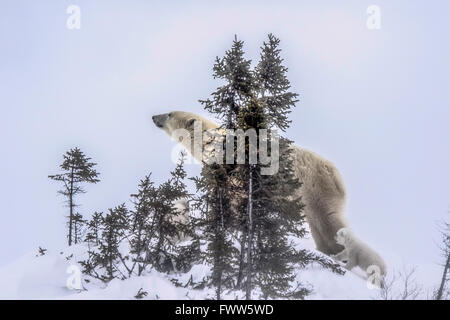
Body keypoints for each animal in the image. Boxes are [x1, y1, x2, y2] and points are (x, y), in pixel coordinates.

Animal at [152, 110, 348, 255]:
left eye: (169, 114)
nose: (154, 117)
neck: (213, 143)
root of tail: (337, 176)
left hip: (314, 186)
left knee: (327, 219)